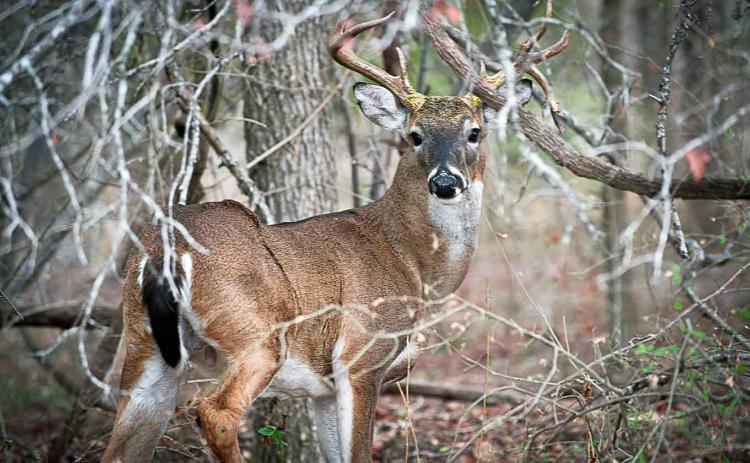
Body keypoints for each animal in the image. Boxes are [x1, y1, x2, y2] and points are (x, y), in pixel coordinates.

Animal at [102, 7, 568, 463]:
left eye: (474, 132)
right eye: (414, 135)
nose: (445, 182)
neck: (412, 263)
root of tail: (164, 249)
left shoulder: (322, 389)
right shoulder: (361, 356)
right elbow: (359, 452)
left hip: (145, 347)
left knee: (123, 440)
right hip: (256, 333)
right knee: (215, 413)